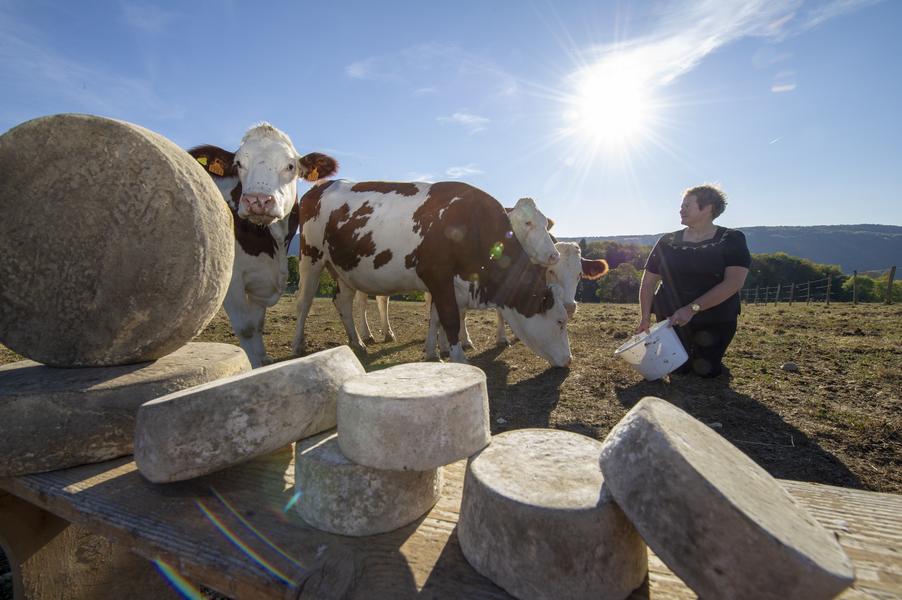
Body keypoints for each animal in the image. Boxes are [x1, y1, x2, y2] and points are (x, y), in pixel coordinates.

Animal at [188, 123, 337, 367]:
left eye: (290, 165)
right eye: (238, 163)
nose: (257, 200)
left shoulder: (260, 284)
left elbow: (257, 326)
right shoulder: (231, 281)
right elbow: (246, 329)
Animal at [292, 181, 573, 367]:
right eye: (560, 322)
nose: (569, 360)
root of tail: (319, 187)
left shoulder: (444, 282)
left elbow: (436, 316)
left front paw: (433, 352)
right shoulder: (437, 275)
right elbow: (449, 318)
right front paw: (459, 358)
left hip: (343, 269)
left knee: (343, 302)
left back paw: (357, 342)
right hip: (311, 257)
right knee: (304, 302)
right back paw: (298, 345)